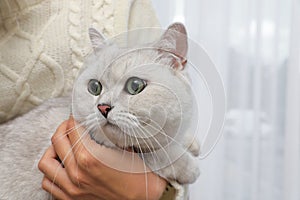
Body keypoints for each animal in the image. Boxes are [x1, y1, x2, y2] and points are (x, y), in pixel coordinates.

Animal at [0, 23, 202, 198]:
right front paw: (188, 167)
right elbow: (154, 152)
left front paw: (190, 142)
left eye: (135, 85)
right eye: (94, 87)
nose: (103, 107)